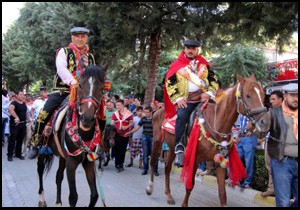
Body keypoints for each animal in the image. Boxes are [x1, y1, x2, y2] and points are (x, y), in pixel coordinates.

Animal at [36, 64, 106, 207]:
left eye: (102, 89)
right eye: (80, 85)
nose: (87, 119)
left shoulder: (88, 162)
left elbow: (94, 195)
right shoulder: (71, 162)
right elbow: (73, 196)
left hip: (62, 157)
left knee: (58, 177)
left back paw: (58, 203)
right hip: (42, 149)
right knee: (40, 170)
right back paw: (41, 199)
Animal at [146, 74, 270, 207]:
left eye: (263, 95)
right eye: (248, 95)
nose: (265, 123)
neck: (217, 123)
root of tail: (158, 110)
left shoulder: (221, 162)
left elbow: (222, 193)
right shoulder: (195, 159)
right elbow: (190, 185)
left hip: (171, 147)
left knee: (167, 168)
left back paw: (168, 195)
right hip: (157, 141)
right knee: (153, 162)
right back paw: (150, 188)